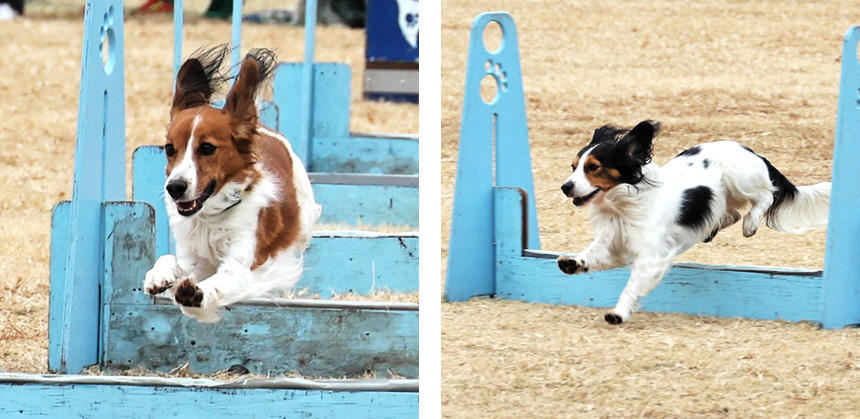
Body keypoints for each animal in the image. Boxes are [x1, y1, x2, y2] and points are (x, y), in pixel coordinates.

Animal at [143, 47, 320, 324]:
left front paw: (196, 294)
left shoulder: (243, 263)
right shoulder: (193, 256)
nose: (175, 188)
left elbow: (220, 281)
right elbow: (170, 260)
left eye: (207, 148)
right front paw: (159, 275)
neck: (211, 217)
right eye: (170, 149)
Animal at [560, 120, 828, 324]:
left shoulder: (651, 258)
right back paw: (713, 229)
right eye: (573, 167)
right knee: (731, 213)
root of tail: (753, 152)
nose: (565, 187)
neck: (621, 208)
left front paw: (618, 313)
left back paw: (751, 223)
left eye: (593, 167)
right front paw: (572, 262)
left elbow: (632, 286)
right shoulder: (614, 246)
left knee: (765, 195)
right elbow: (592, 255)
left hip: (740, 178)